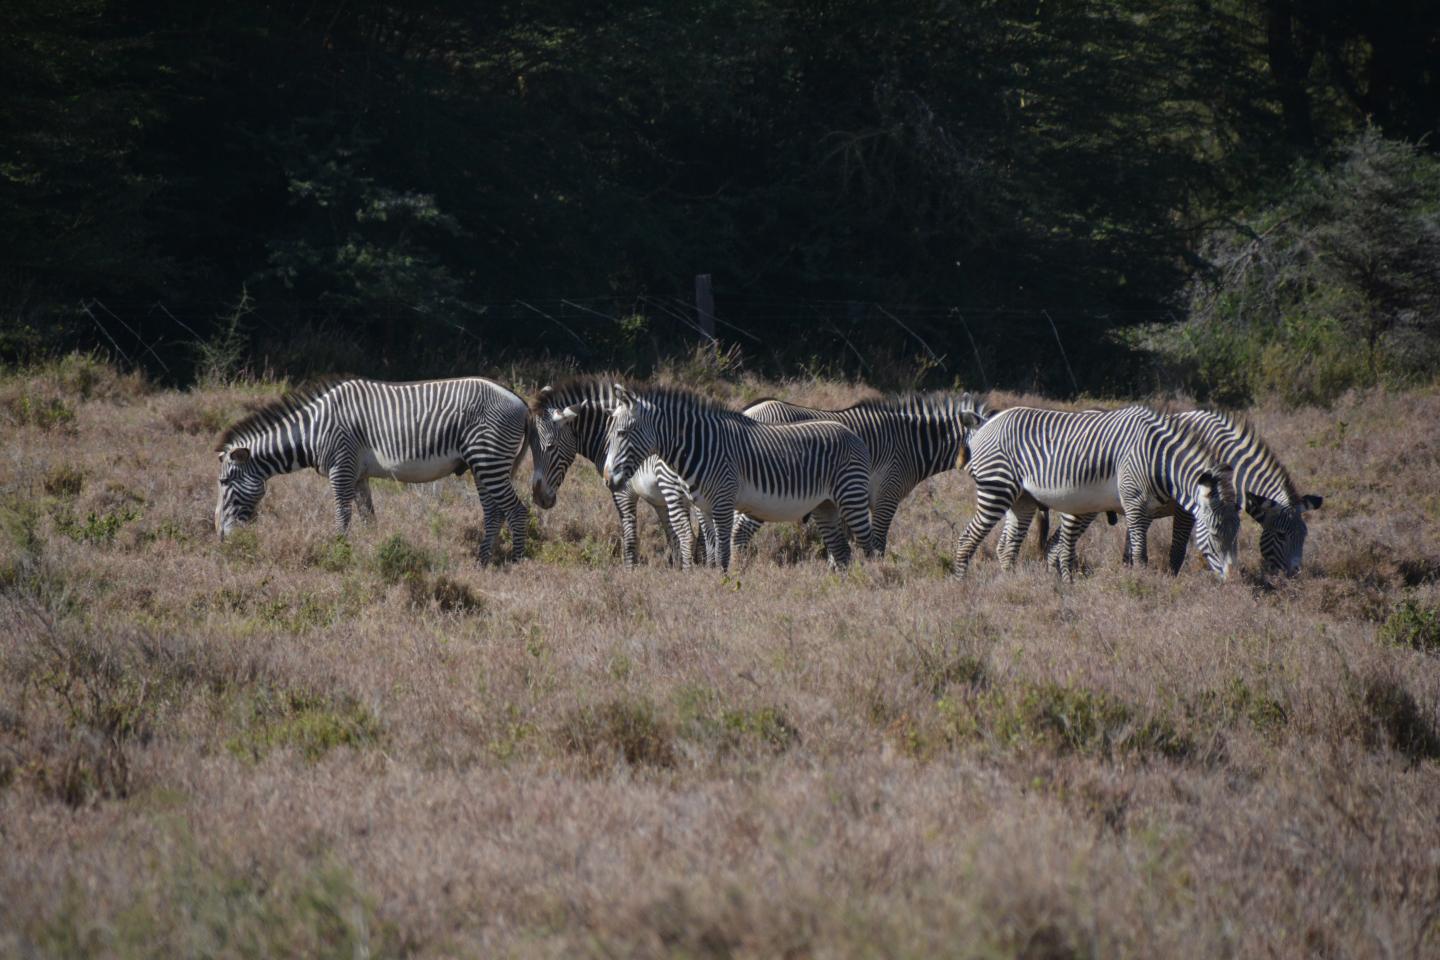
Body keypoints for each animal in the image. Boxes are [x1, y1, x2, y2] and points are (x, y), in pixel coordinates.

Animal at [214, 377, 535, 564]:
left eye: (224, 481)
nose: (220, 537)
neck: (314, 430)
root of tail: (520, 401)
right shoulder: (358, 475)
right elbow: (368, 517)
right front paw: (374, 550)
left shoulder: (341, 468)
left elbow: (342, 515)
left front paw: (339, 554)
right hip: (481, 464)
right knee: (493, 512)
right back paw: (482, 561)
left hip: (489, 459)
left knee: (517, 510)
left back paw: (517, 562)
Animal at [529, 378, 701, 568]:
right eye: (530, 446)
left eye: (550, 446)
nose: (538, 498)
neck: (608, 436)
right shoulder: (659, 501)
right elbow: (673, 539)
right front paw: (676, 571)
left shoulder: (623, 491)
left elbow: (630, 539)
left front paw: (630, 570)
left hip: (673, 486)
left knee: (691, 537)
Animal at [600, 384, 875, 571]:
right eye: (610, 433)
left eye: (622, 433)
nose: (607, 479)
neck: (701, 446)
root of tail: (852, 433)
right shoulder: (705, 508)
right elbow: (711, 550)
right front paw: (711, 583)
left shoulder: (723, 503)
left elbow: (722, 553)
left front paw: (725, 586)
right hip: (824, 505)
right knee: (843, 551)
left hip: (851, 496)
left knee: (868, 546)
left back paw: (870, 583)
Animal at [731, 392, 990, 555]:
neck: (913, 445)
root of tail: (750, 410)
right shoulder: (887, 494)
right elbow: (878, 541)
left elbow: (843, 540)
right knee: (739, 532)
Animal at [952, 405, 1241, 583]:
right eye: (1214, 534)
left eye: (1236, 535)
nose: (1233, 581)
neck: (1159, 459)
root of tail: (986, 423)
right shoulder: (1136, 503)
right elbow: (1142, 554)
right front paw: (1144, 584)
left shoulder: (1144, 509)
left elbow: (1139, 551)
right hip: (996, 488)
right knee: (967, 538)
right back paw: (961, 585)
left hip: (1023, 499)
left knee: (1007, 547)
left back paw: (1011, 583)